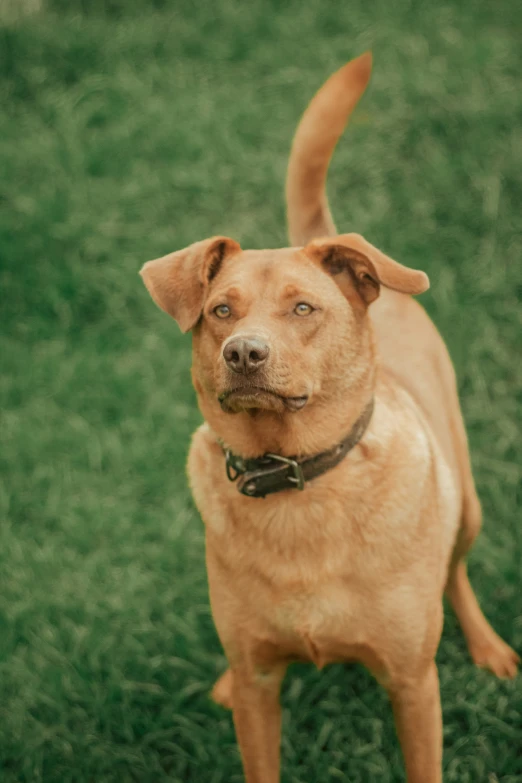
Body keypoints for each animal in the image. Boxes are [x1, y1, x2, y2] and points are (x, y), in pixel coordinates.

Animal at [139, 55, 516, 783]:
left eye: (303, 308)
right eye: (220, 309)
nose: (243, 354)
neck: (296, 481)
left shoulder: (412, 685)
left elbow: (423, 760)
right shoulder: (260, 685)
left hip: (468, 503)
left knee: (457, 572)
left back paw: (488, 645)